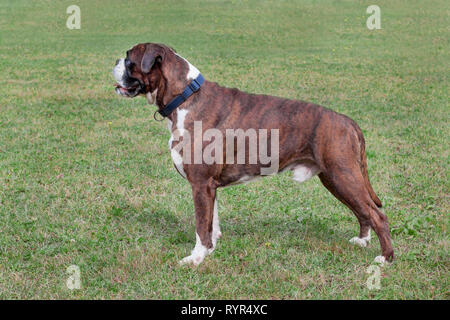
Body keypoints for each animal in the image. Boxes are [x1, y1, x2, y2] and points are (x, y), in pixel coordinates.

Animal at [112, 43, 394, 266]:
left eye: (129, 59)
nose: (114, 62)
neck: (184, 96)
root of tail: (348, 121)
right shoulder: (209, 186)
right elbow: (211, 222)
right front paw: (211, 250)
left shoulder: (200, 184)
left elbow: (200, 226)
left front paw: (196, 258)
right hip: (336, 179)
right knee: (363, 211)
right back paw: (362, 240)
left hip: (343, 176)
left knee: (377, 215)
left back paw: (385, 258)